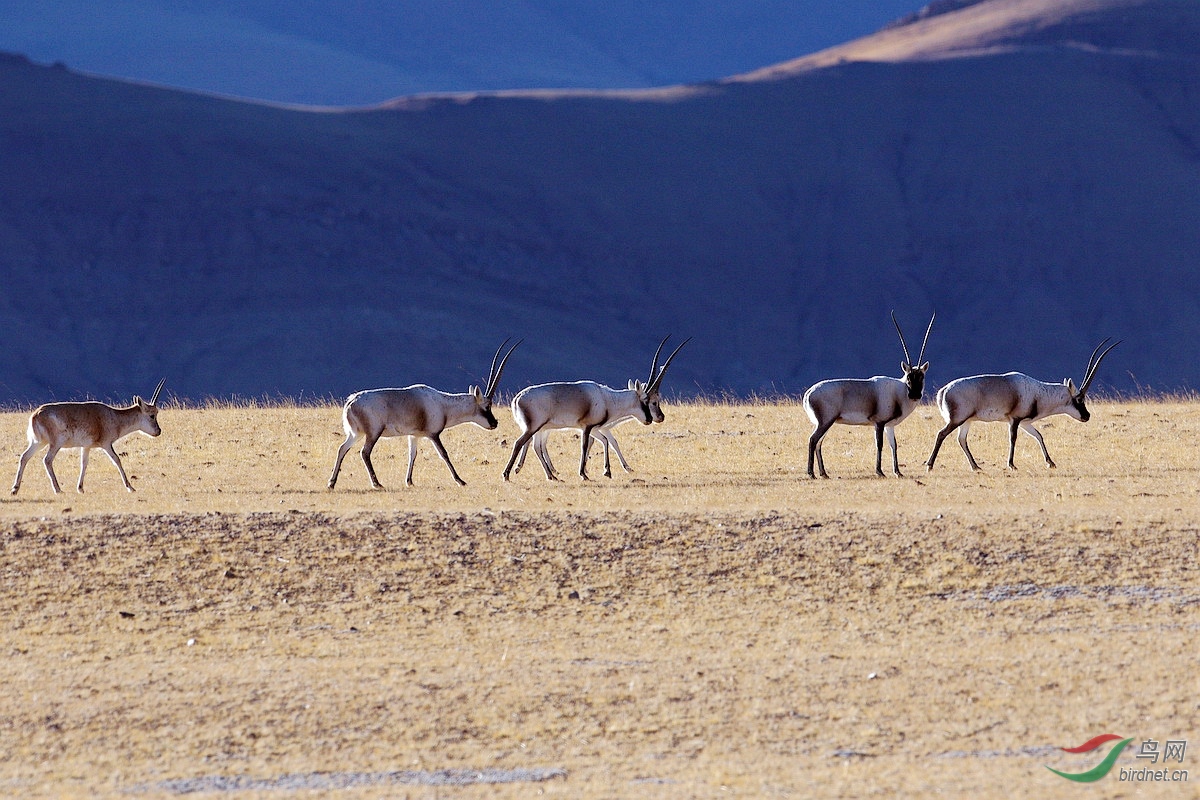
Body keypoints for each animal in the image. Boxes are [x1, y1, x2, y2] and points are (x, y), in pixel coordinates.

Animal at [11, 376, 168, 494]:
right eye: (152, 415)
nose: (158, 431)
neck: (113, 416)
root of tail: (36, 414)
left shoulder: (86, 447)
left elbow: (84, 463)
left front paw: (80, 488)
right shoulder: (106, 444)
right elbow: (117, 460)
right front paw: (130, 487)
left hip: (38, 443)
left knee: (24, 457)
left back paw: (15, 489)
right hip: (55, 444)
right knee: (47, 460)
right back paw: (58, 489)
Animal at [326, 338, 518, 489]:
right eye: (487, 405)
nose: (494, 423)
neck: (443, 404)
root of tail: (351, 401)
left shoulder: (414, 435)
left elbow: (413, 454)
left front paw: (409, 481)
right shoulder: (433, 434)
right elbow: (444, 454)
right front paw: (460, 480)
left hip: (356, 433)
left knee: (342, 448)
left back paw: (332, 483)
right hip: (373, 433)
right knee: (364, 453)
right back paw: (376, 483)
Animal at [501, 333, 691, 482]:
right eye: (650, 401)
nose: (655, 418)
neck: (608, 398)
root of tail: (517, 398)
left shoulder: (594, 428)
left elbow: (605, 441)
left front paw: (607, 471)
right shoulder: (587, 427)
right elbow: (586, 446)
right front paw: (584, 474)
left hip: (538, 428)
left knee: (535, 446)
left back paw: (550, 475)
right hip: (534, 427)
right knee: (520, 443)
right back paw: (508, 474)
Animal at [806, 311, 936, 479]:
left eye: (921, 377)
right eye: (908, 377)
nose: (914, 395)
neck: (899, 391)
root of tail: (809, 393)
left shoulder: (889, 426)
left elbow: (894, 445)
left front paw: (898, 472)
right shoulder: (879, 423)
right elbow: (879, 445)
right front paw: (880, 471)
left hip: (826, 422)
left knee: (819, 442)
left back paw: (824, 473)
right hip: (825, 422)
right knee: (813, 440)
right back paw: (811, 473)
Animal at [921, 335, 1118, 472]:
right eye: (1079, 399)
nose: (1087, 416)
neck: (1039, 392)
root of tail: (944, 390)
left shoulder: (1025, 423)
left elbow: (1039, 436)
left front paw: (1050, 462)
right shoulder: (1014, 420)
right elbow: (1013, 438)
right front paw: (1011, 464)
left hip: (966, 421)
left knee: (961, 440)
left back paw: (975, 466)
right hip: (957, 420)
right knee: (941, 434)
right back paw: (930, 465)